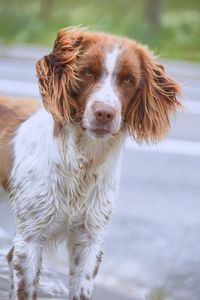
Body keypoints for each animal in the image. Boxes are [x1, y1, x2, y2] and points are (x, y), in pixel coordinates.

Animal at [0, 27, 180, 298]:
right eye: (86, 72)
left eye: (128, 80)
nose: (104, 113)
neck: (82, 163)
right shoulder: (30, 238)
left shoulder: (90, 238)